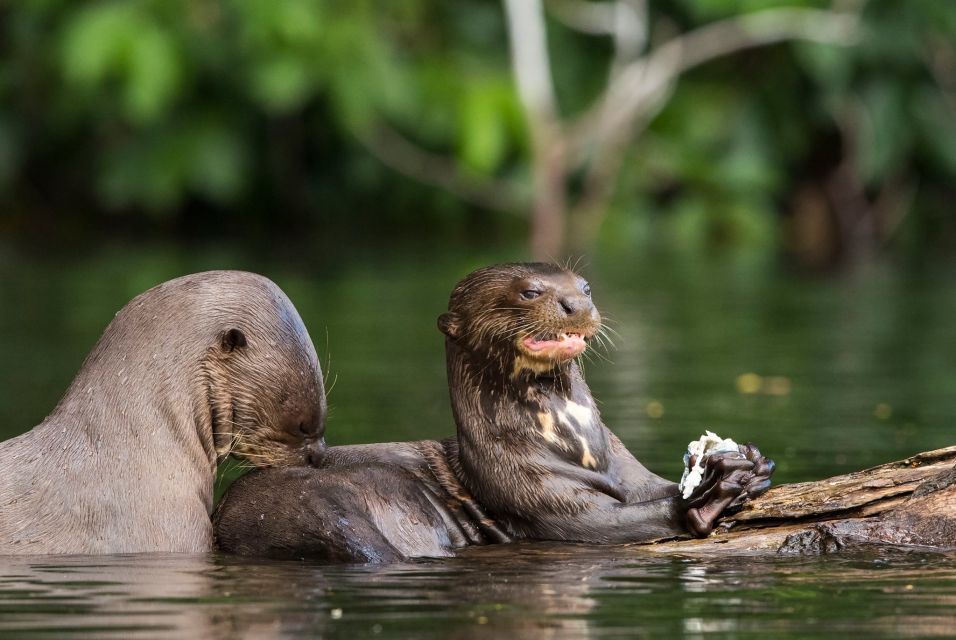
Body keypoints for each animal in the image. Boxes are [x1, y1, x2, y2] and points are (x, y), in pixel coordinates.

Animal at [213, 262, 772, 556]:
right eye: (530, 292)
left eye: (585, 286)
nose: (577, 304)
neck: (573, 445)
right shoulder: (524, 486)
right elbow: (592, 523)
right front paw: (704, 498)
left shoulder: (626, 469)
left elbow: (651, 487)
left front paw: (749, 462)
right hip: (327, 500)